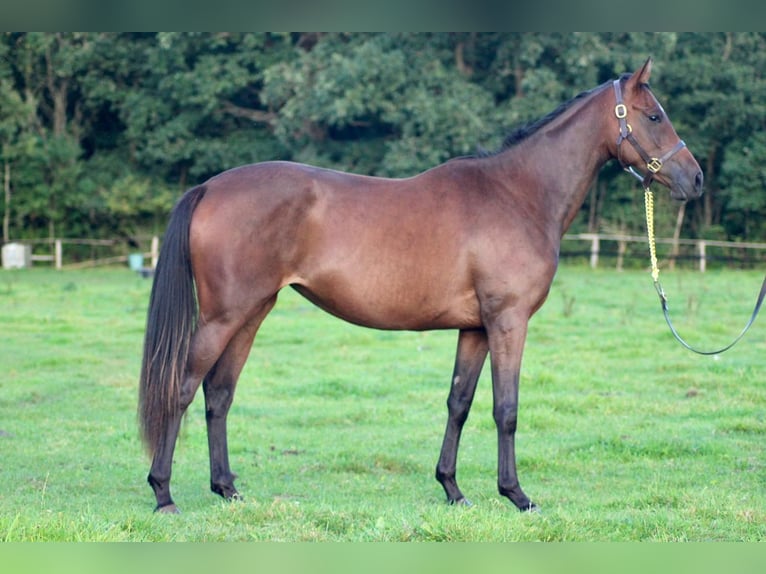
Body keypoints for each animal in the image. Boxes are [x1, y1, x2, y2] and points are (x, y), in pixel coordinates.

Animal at [138, 57, 703, 513]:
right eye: (654, 116)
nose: (695, 179)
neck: (517, 194)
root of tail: (210, 186)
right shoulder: (508, 322)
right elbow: (506, 409)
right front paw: (516, 495)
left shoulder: (475, 328)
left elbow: (460, 402)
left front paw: (452, 489)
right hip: (224, 317)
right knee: (183, 387)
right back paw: (163, 493)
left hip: (252, 312)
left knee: (219, 393)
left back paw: (227, 488)